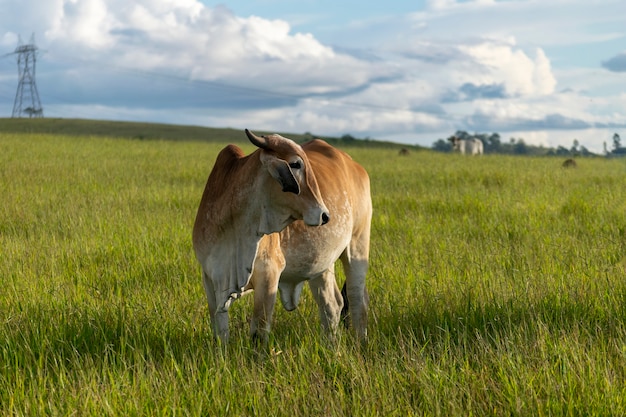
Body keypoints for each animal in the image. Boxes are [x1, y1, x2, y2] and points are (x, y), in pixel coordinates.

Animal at [191, 128, 370, 342]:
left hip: (357, 247)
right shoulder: (210, 277)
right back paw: (331, 346)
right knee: (332, 305)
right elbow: (220, 332)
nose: (324, 215)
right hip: (322, 263)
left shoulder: (269, 273)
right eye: (296, 164)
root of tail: (355, 165)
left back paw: (360, 343)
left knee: (357, 299)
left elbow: (258, 332)